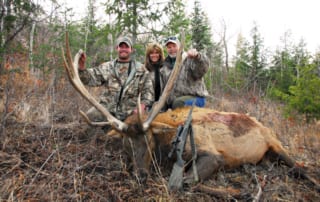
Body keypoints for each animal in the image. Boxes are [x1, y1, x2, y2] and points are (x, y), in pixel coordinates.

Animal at [61, 32, 318, 193]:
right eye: (125, 143)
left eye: (149, 139)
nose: (141, 175)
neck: (166, 142)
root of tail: (265, 127)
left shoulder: (213, 154)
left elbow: (185, 180)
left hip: (276, 144)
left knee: (301, 168)